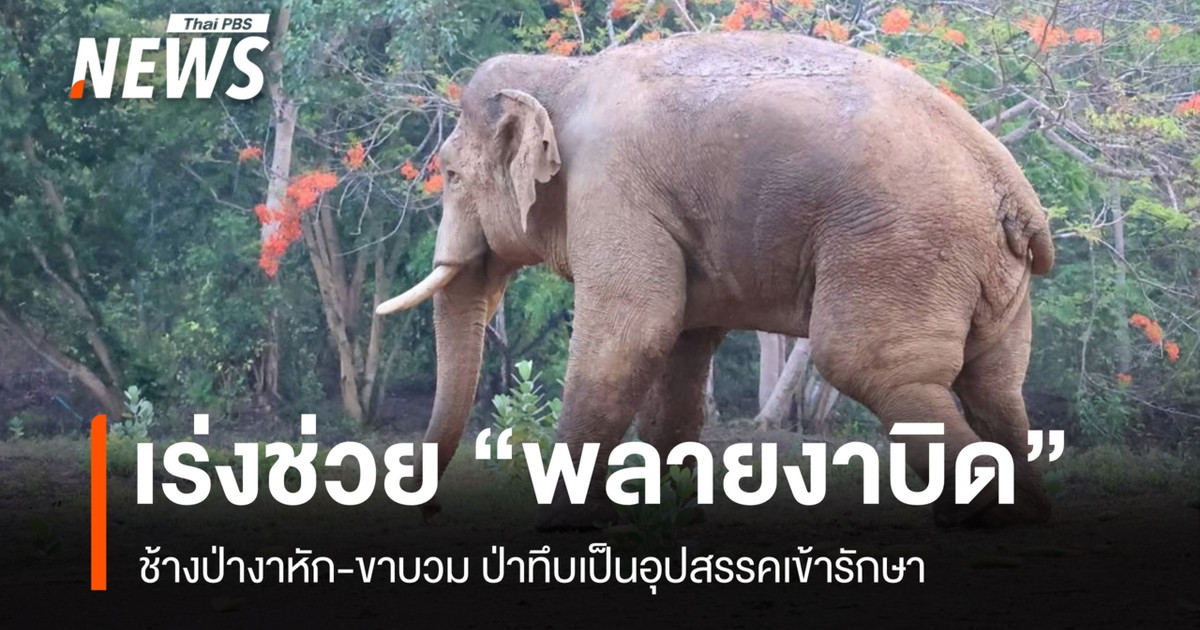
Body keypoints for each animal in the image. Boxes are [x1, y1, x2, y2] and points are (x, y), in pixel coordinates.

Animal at [376, 31, 1055, 529]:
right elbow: (679, 348)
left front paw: (563, 526)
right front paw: (667, 518)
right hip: (990, 275)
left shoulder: (612, 189)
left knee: (873, 367)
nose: (429, 507)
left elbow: (632, 332)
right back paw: (1025, 513)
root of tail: (1012, 190)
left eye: (451, 175)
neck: (562, 75)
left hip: (901, 249)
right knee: (995, 388)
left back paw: (982, 519)